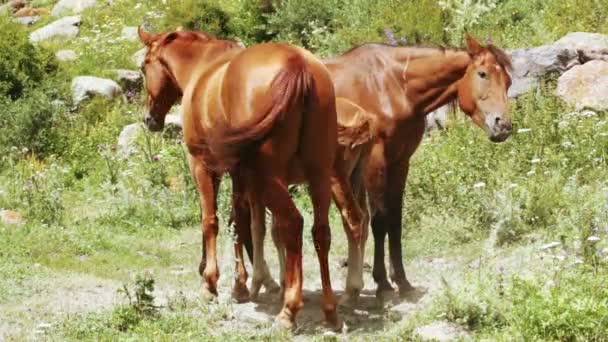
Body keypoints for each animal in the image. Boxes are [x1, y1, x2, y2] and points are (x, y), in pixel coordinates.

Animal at [139, 28, 346, 328]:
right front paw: (240, 286)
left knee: (293, 224)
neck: (202, 66)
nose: (149, 119)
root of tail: (297, 64)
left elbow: (210, 221)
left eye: (143, 67)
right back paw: (329, 311)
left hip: (270, 178)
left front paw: (210, 283)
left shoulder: (203, 167)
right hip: (318, 175)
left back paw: (289, 309)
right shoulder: (238, 173)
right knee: (321, 232)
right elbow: (238, 221)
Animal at [252, 32, 512, 304]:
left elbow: (395, 222)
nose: (503, 125)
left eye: (508, 81)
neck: (395, 86)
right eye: (482, 74)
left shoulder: (400, 163)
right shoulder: (375, 163)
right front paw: (383, 284)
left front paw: (403, 282)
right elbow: (379, 221)